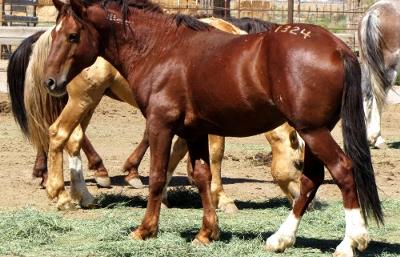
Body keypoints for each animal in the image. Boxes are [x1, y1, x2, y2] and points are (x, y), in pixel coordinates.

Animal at [7, 18, 304, 210]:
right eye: (300, 164)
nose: (306, 202)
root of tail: (51, 33)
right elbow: (216, 154)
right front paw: (222, 198)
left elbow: (177, 152)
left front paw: (162, 192)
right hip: (83, 99)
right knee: (59, 134)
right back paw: (62, 194)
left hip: (87, 102)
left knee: (74, 140)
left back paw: (85, 194)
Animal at [43, 0, 382, 255]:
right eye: (56, 34)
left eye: (72, 35)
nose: (51, 82)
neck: (161, 50)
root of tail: (338, 47)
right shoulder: (194, 131)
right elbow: (202, 176)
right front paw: (207, 232)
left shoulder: (160, 125)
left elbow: (157, 177)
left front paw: (145, 229)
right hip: (313, 131)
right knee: (312, 179)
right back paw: (281, 239)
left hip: (313, 131)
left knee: (342, 169)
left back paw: (351, 242)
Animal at [358, 0, 400, 148]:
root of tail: (373, 12)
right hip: (389, 66)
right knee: (379, 93)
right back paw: (376, 138)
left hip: (366, 63)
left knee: (366, 92)